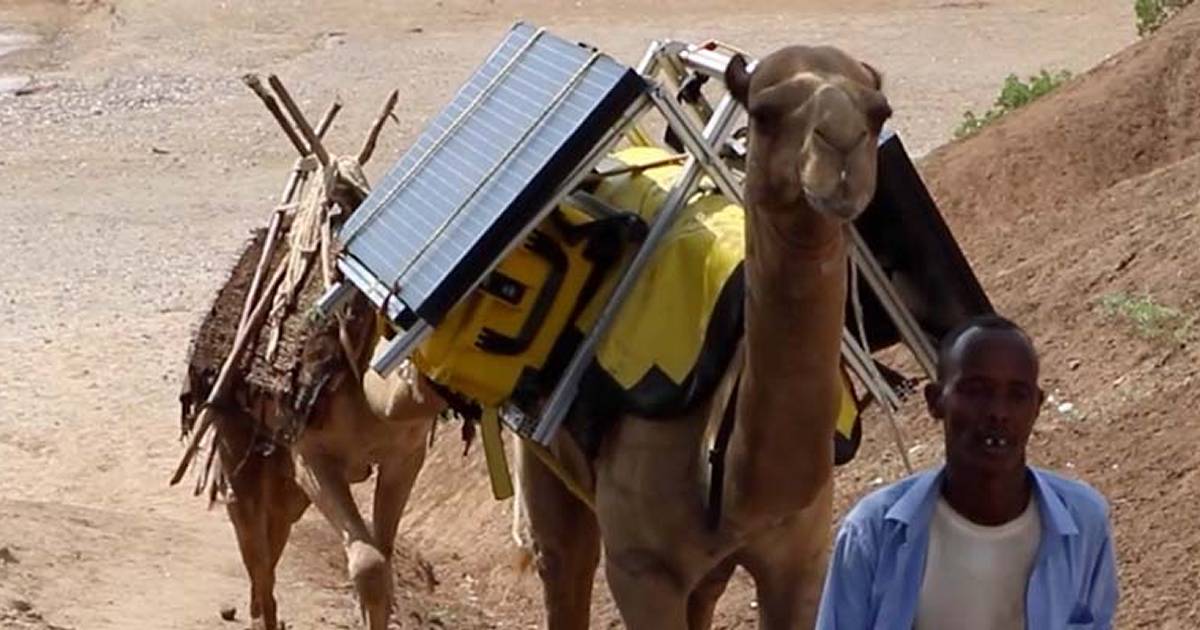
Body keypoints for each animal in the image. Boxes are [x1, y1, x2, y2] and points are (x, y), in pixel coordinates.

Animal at [518, 45, 902, 628]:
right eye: (764, 113)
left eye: (880, 113)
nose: (840, 149)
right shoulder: (642, 569)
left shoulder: (802, 557)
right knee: (564, 562)